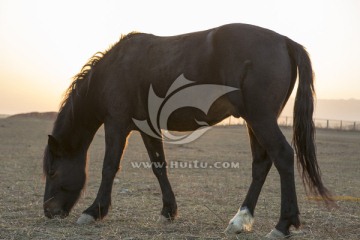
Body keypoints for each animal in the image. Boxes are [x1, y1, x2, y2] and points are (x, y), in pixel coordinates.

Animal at [43, 23, 332, 238]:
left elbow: (109, 167)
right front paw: (168, 211)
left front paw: (93, 211)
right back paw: (240, 220)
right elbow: (159, 166)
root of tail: (285, 41)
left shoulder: (116, 124)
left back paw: (283, 224)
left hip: (260, 118)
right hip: (255, 120)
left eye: (53, 171)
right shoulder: (147, 128)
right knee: (261, 164)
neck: (112, 70)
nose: (48, 211)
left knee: (282, 156)